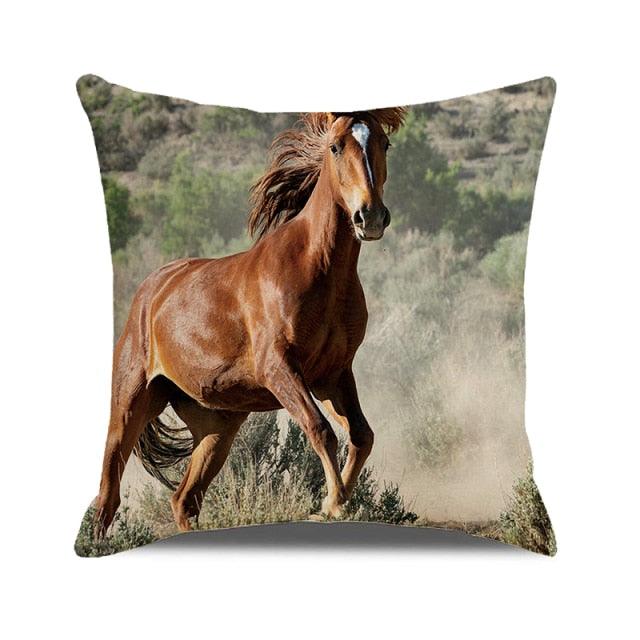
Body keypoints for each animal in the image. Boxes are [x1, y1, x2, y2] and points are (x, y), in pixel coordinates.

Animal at [95, 107, 407, 536]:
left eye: (384, 143)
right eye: (335, 146)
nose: (370, 216)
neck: (318, 269)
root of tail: (149, 291)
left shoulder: (334, 374)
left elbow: (361, 435)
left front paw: (335, 502)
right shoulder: (279, 368)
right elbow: (320, 429)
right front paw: (333, 504)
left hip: (216, 427)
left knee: (184, 499)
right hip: (131, 402)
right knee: (108, 494)